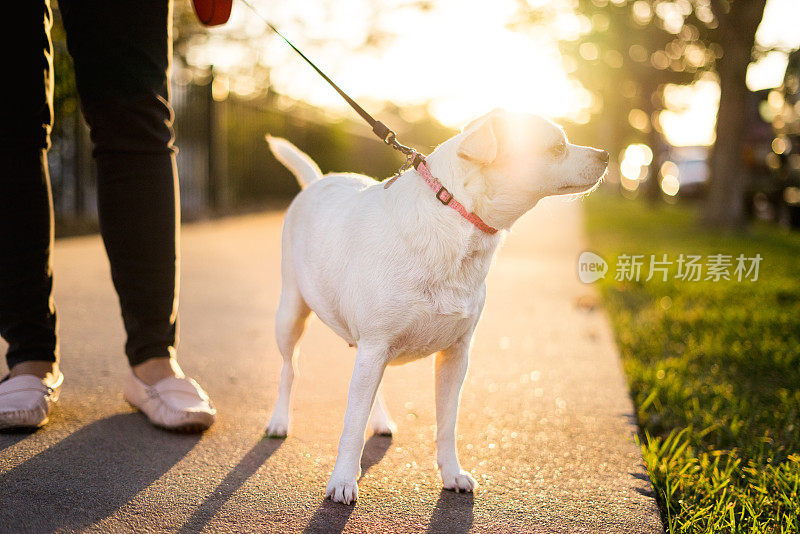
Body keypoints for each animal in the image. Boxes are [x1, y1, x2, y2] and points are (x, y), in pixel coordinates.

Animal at [262, 110, 608, 506]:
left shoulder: (453, 356)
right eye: (556, 147)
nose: (606, 155)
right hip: (292, 314)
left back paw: (378, 420)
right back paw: (279, 421)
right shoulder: (375, 346)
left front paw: (451, 473)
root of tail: (317, 180)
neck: (455, 218)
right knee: (290, 369)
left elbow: (447, 422)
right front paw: (343, 480)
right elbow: (350, 425)